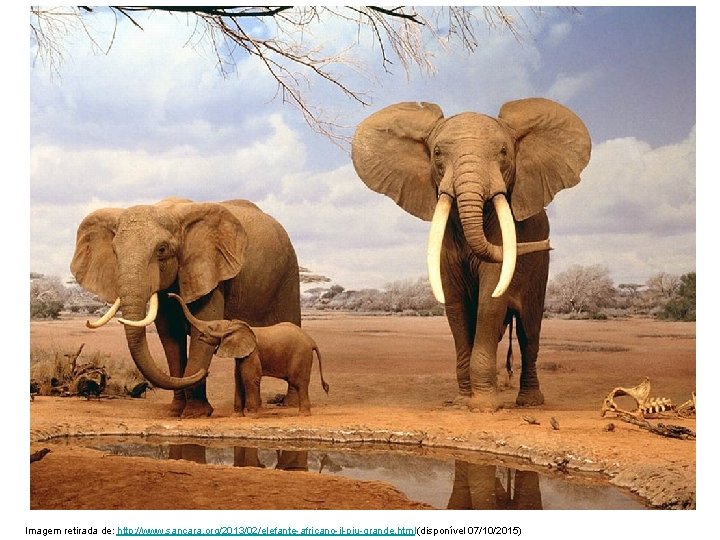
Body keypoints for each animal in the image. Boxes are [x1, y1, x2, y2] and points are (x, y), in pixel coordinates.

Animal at [70, 198, 301, 418]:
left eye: (162, 250)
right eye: (115, 252)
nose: (204, 372)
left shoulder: (209, 272)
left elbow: (202, 328)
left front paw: (195, 414)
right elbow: (170, 337)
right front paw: (175, 412)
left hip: (289, 274)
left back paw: (289, 404)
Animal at [169, 293, 329, 416]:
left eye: (211, 327)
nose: (169, 295)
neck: (233, 325)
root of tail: (311, 341)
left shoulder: (252, 353)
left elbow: (249, 378)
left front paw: (252, 415)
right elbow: (238, 379)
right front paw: (237, 416)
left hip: (301, 355)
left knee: (299, 382)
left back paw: (303, 414)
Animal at [352, 98, 591, 409]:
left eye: (503, 152)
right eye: (437, 153)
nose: (548, 243)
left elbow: (491, 301)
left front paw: (484, 407)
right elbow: (455, 306)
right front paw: (462, 401)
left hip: (540, 270)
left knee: (529, 332)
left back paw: (529, 402)